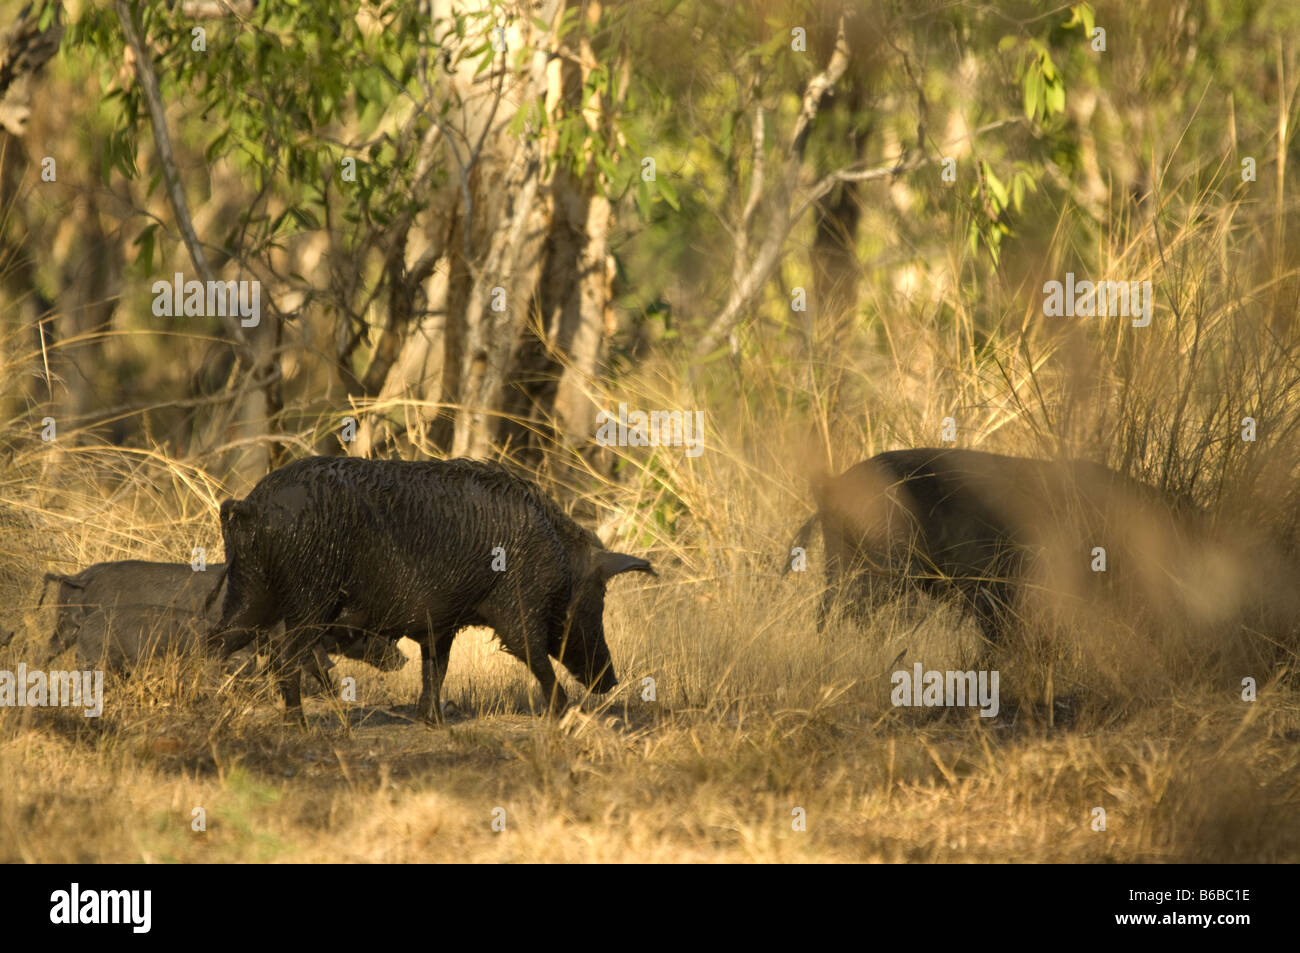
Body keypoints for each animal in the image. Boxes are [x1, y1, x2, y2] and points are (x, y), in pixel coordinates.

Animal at [215, 457, 660, 722]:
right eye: (596, 601)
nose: (611, 680)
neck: (560, 559)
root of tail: (252, 504)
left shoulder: (439, 623)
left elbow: (436, 669)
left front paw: (433, 721)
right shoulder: (517, 607)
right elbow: (534, 656)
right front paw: (564, 713)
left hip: (249, 589)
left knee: (216, 639)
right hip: (309, 598)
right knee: (284, 658)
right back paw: (301, 724)